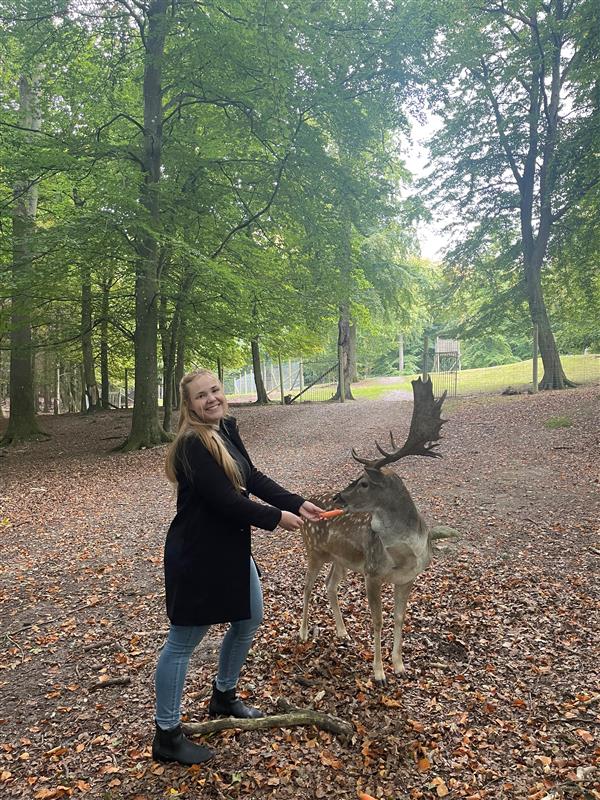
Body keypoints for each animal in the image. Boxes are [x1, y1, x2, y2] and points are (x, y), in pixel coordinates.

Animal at [300, 376, 454, 680]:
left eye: (363, 483)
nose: (338, 498)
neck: (407, 551)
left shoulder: (408, 578)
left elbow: (399, 618)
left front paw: (400, 665)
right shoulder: (372, 572)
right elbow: (378, 621)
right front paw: (379, 672)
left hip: (341, 559)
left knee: (329, 585)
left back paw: (343, 632)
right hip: (314, 550)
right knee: (308, 587)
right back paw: (302, 633)